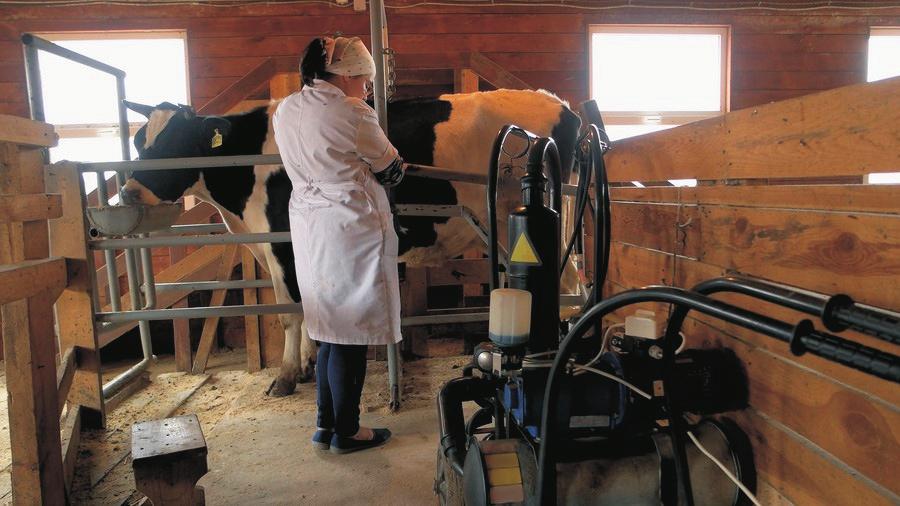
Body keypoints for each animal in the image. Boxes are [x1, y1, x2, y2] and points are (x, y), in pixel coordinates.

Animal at [121, 89, 584, 396]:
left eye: (177, 143)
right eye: (140, 142)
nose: (128, 192)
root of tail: (559, 104)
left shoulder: (282, 243)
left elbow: (290, 312)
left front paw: (285, 376)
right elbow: (309, 307)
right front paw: (307, 365)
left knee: (570, 286)